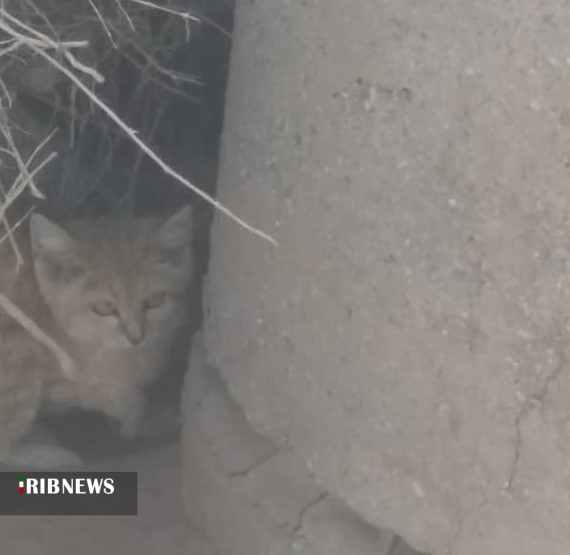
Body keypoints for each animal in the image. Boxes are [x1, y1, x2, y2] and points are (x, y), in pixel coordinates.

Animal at [0, 205, 193, 470]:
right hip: (19, 347)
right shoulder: (49, 362)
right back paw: (54, 455)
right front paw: (138, 418)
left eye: (156, 300)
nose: (136, 337)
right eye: (104, 307)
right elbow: (118, 395)